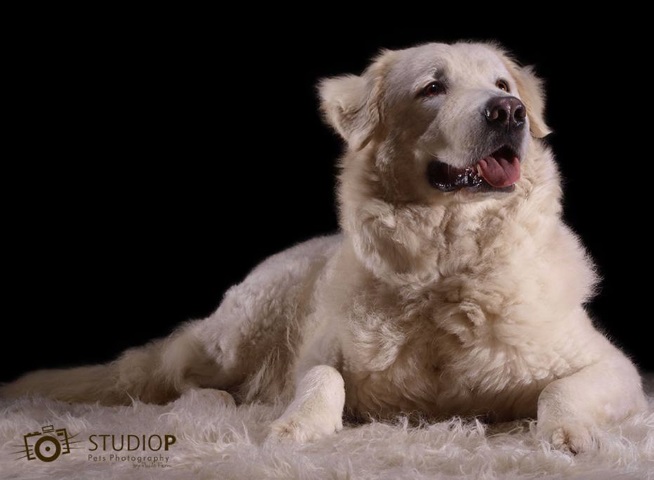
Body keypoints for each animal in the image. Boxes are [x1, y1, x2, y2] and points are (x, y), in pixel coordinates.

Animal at [2, 40, 647, 454]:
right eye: (433, 88)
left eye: (503, 86)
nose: (509, 112)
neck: (444, 272)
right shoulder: (318, 353)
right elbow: (321, 380)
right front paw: (296, 429)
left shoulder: (612, 367)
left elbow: (561, 388)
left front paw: (568, 434)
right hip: (238, 332)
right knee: (174, 373)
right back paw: (217, 405)